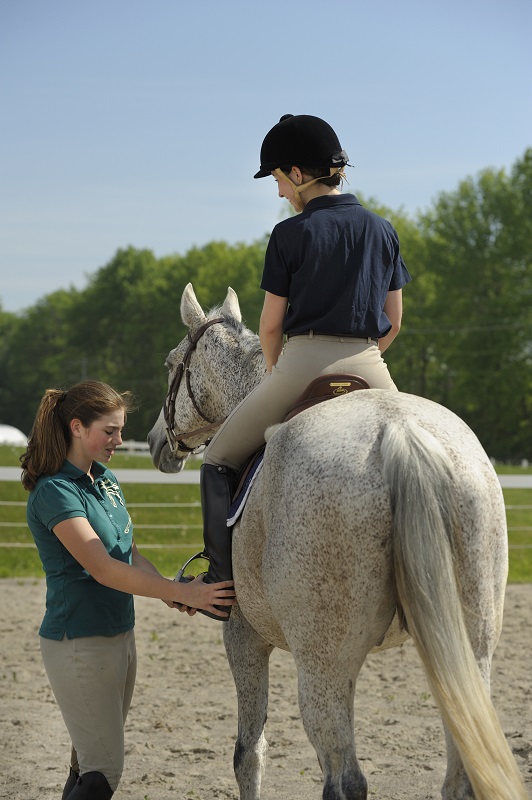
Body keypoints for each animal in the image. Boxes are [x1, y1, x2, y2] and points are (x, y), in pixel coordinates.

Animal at [147, 283, 526, 800]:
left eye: (171, 364)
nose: (154, 445)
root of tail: (399, 432)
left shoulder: (243, 634)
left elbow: (248, 754)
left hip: (322, 663)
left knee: (344, 779)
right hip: (469, 650)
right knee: (460, 774)